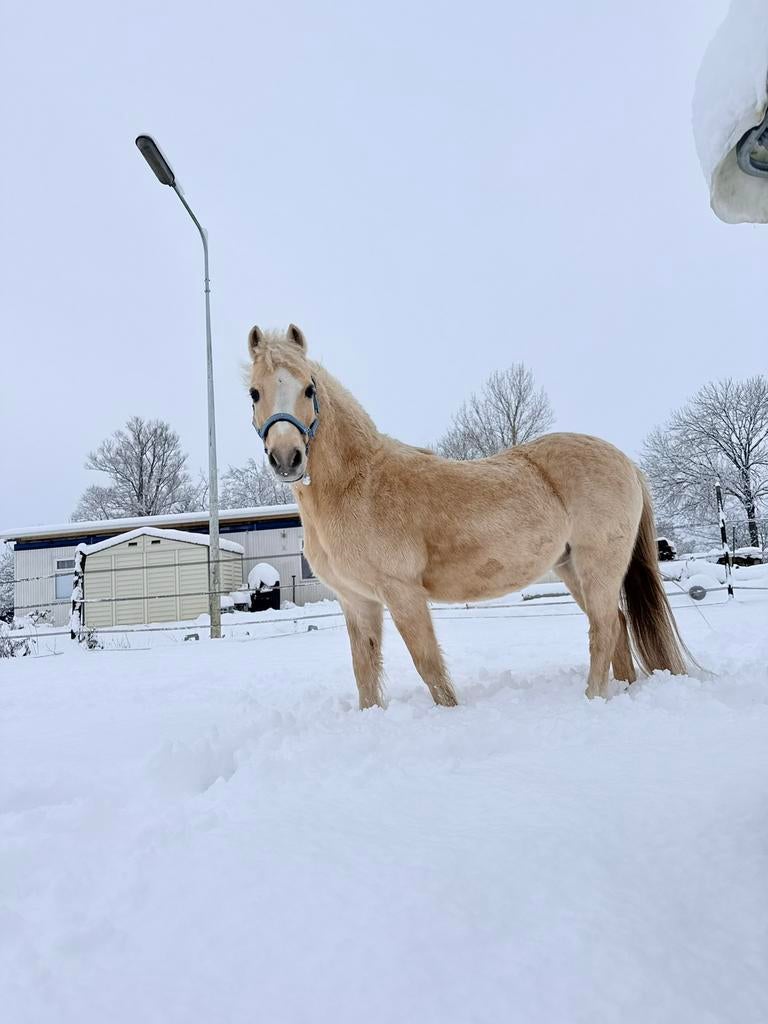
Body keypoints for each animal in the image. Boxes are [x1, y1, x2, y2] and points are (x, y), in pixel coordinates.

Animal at [246, 324, 691, 708]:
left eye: (308, 388)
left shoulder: (403, 593)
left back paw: (593, 698)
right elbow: (365, 674)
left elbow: (430, 670)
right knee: (617, 624)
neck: (358, 483)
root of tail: (626, 462)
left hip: (597, 566)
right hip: (570, 568)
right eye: (254, 392)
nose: (287, 458)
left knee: (604, 629)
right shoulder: (357, 601)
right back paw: (623, 690)